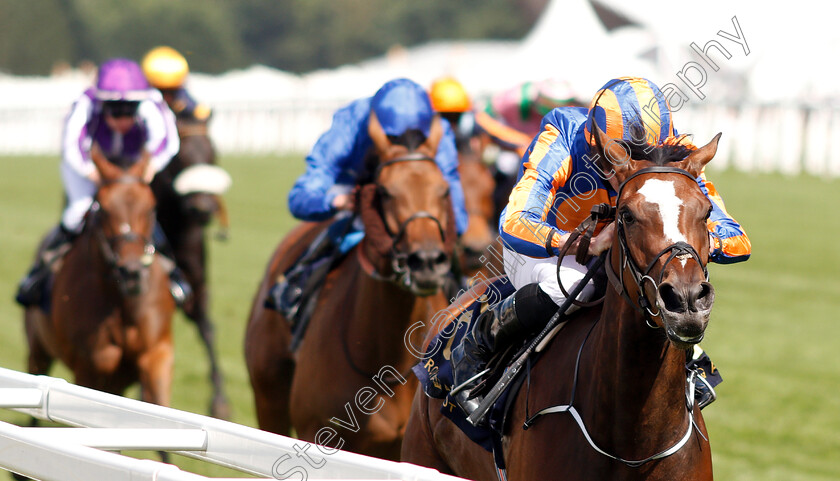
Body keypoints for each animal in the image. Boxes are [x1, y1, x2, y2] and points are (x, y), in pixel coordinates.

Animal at [25, 148, 175, 404]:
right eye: (103, 209)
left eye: (151, 207)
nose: (132, 273)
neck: (123, 304)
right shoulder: (92, 367)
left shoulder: (156, 354)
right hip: (38, 351)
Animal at [150, 116, 230, 416]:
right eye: (179, 156)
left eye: (212, 151)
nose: (203, 209)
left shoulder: (196, 284)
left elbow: (207, 329)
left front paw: (220, 401)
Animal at [246, 114, 460, 460]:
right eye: (385, 191)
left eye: (443, 191)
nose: (427, 261)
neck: (388, 359)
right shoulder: (318, 434)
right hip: (268, 399)